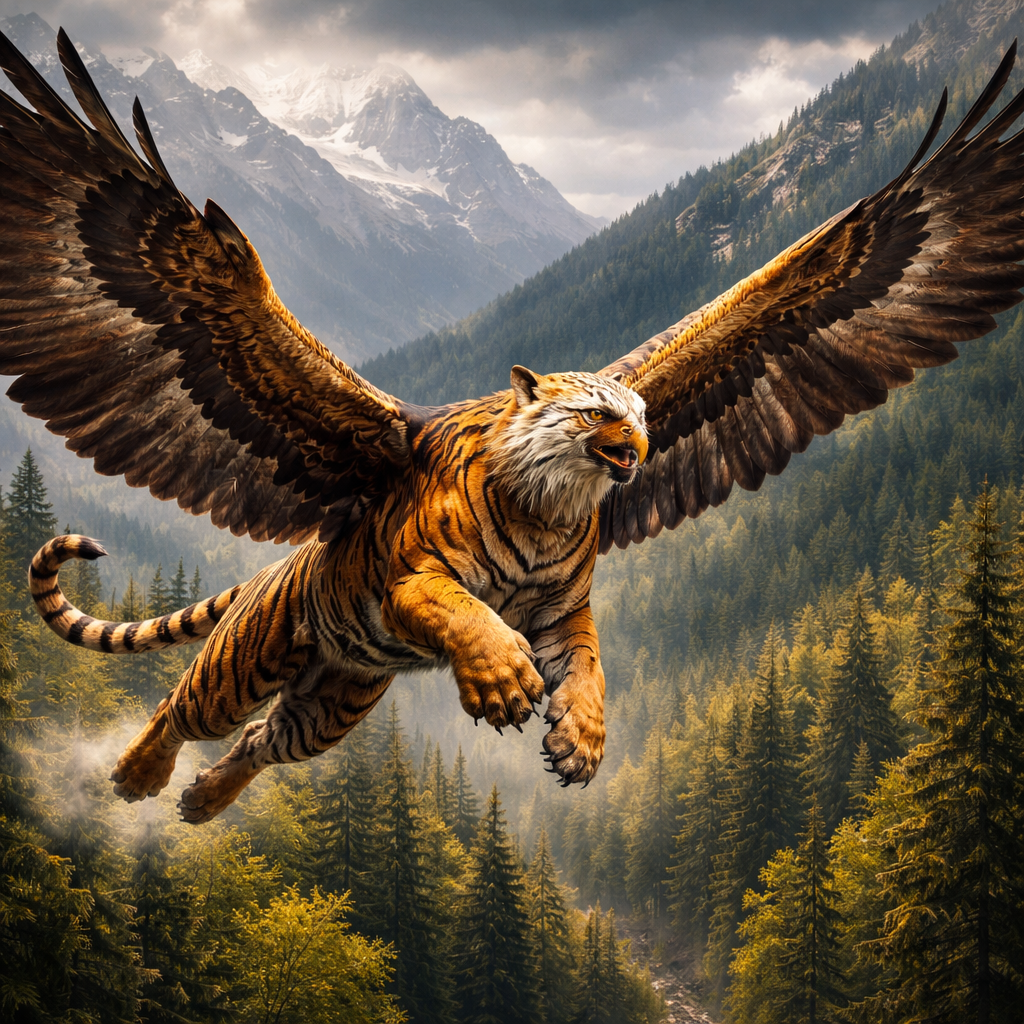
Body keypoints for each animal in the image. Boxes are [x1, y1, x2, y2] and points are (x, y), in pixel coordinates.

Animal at [6, 31, 1024, 821]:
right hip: (260, 647)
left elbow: (591, 666)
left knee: (265, 739)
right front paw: (500, 680)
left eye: (646, 412)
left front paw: (580, 734)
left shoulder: (566, 608)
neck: (546, 508)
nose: (641, 445)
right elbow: (458, 608)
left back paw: (198, 800)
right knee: (189, 705)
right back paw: (137, 776)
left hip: (338, 693)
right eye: (598, 411)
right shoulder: (412, 578)